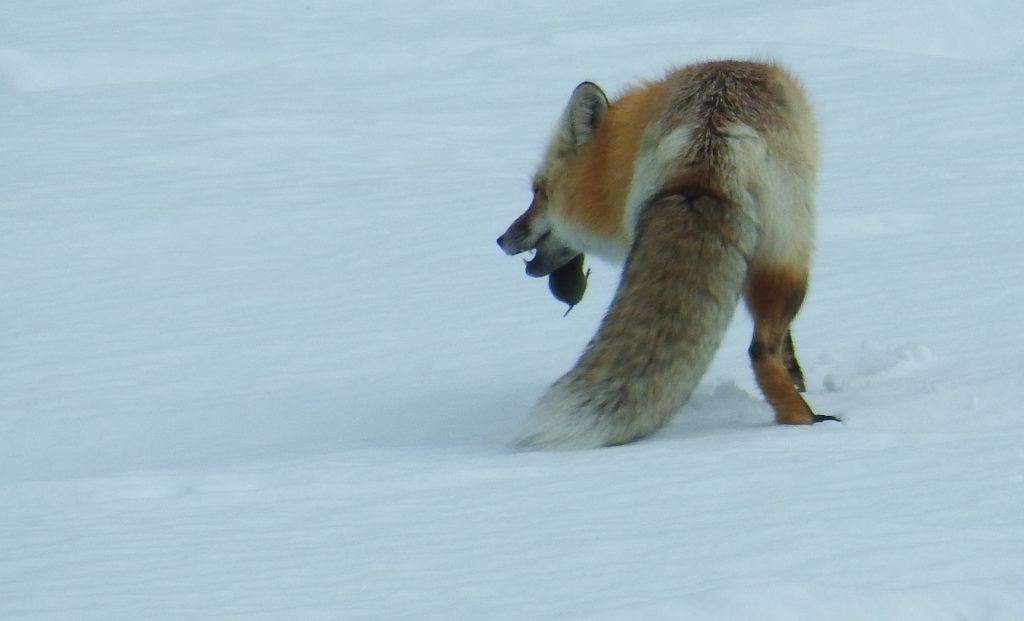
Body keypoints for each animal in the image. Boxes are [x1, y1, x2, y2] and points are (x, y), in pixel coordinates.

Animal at [497, 60, 839, 450]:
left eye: (538, 193)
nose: (501, 239)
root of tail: (709, 133)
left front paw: (796, 373)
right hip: (791, 254)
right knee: (760, 350)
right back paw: (804, 421)